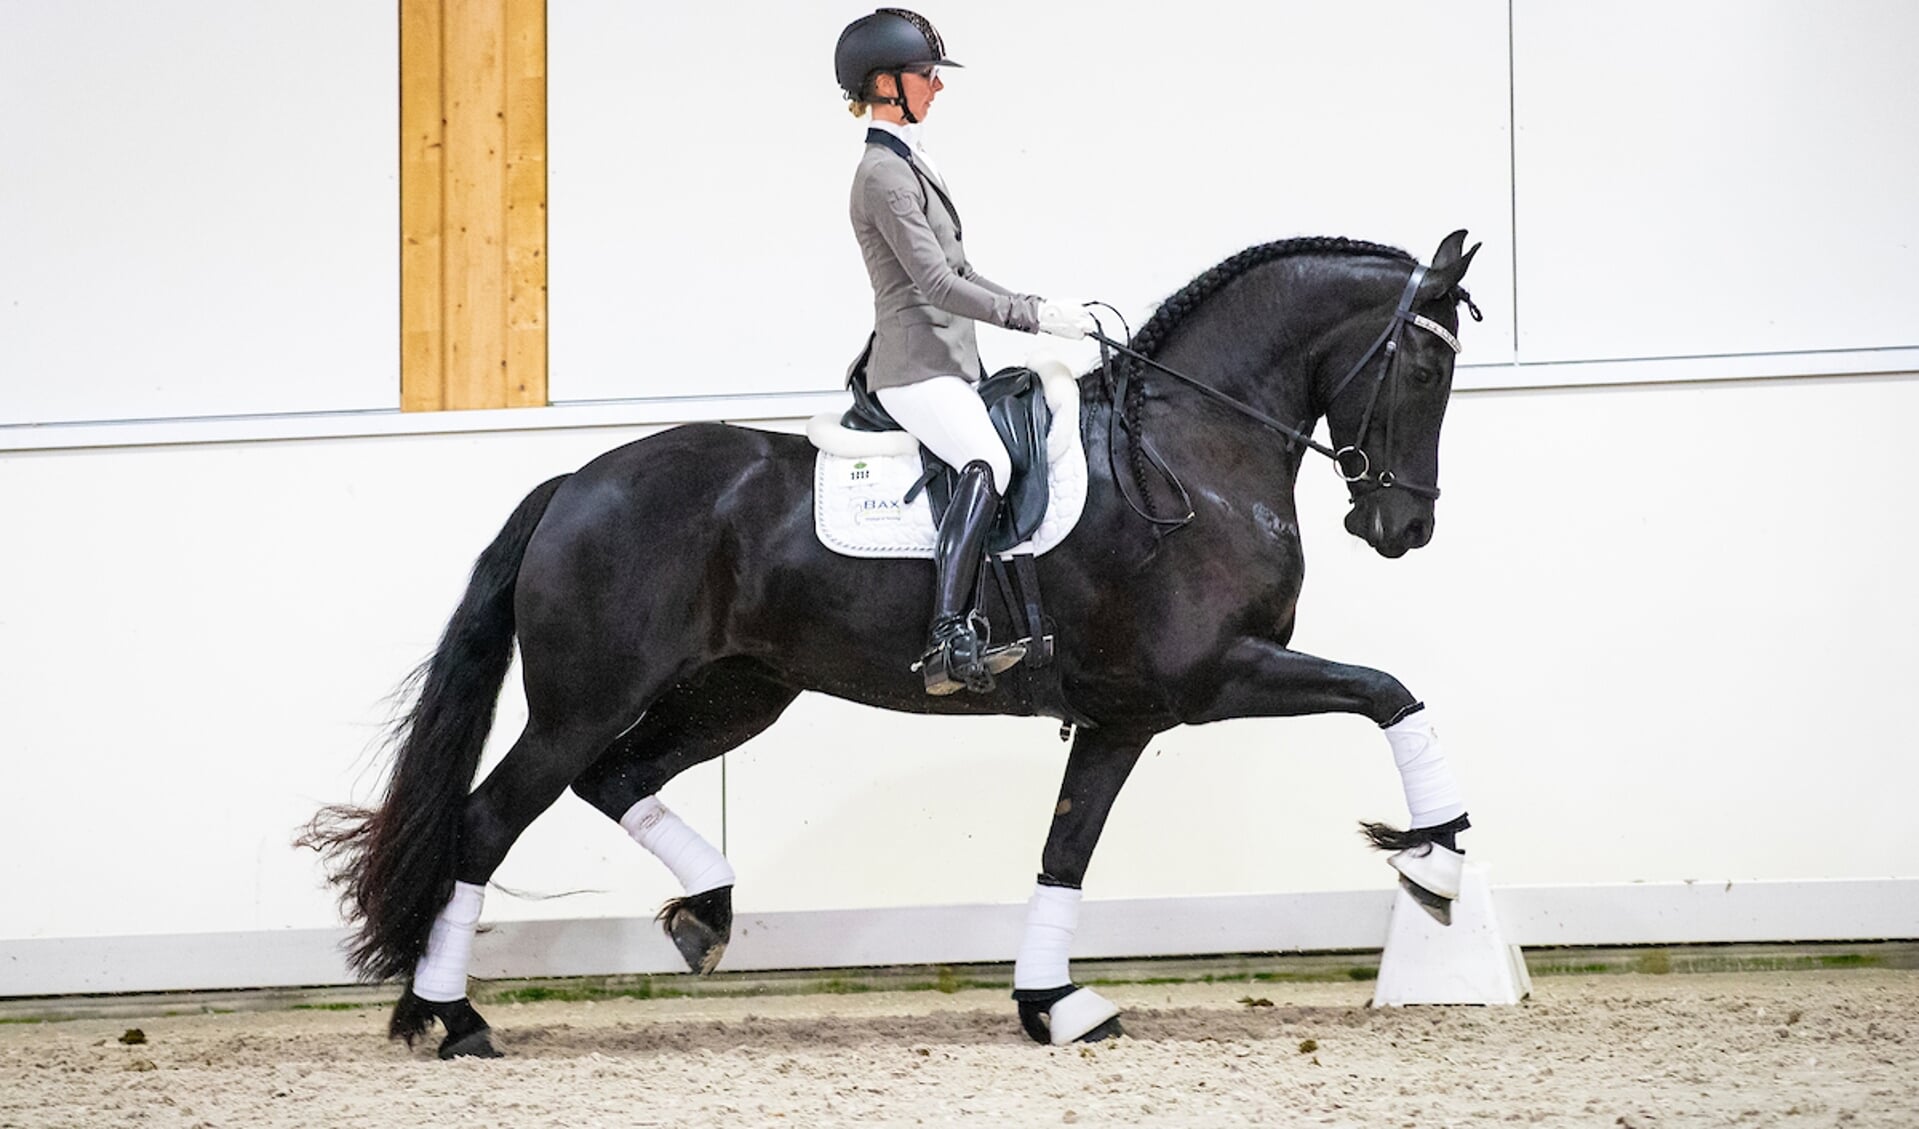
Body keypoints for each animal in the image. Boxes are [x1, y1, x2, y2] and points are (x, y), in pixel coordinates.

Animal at [310, 229, 1481, 1059]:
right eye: (1425, 374)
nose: (1402, 528)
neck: (1185, 453)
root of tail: (574, 483)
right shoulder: (1211, 676)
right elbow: (1389, 691)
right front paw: (1436, 862)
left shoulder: (1124, 714)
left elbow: (1066, 850)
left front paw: (1053, 1004)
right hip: (583, 699)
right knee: (488, 820)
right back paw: (458, 1019)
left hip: (737, 692)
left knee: (617, 778)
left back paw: (704, 914)